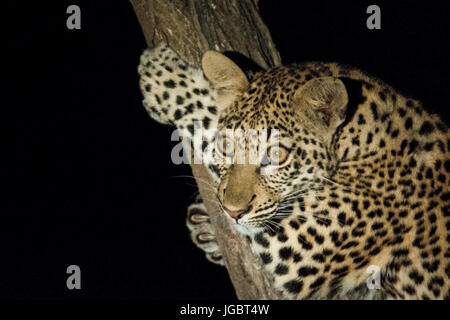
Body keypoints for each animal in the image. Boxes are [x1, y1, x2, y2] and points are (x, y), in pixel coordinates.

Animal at [138, 43, 450, 300]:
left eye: (276, 155)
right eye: (227, 147)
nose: (233, 212)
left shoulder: (301, 246)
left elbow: (208, 113)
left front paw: (161, 76)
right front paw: (203, 225)